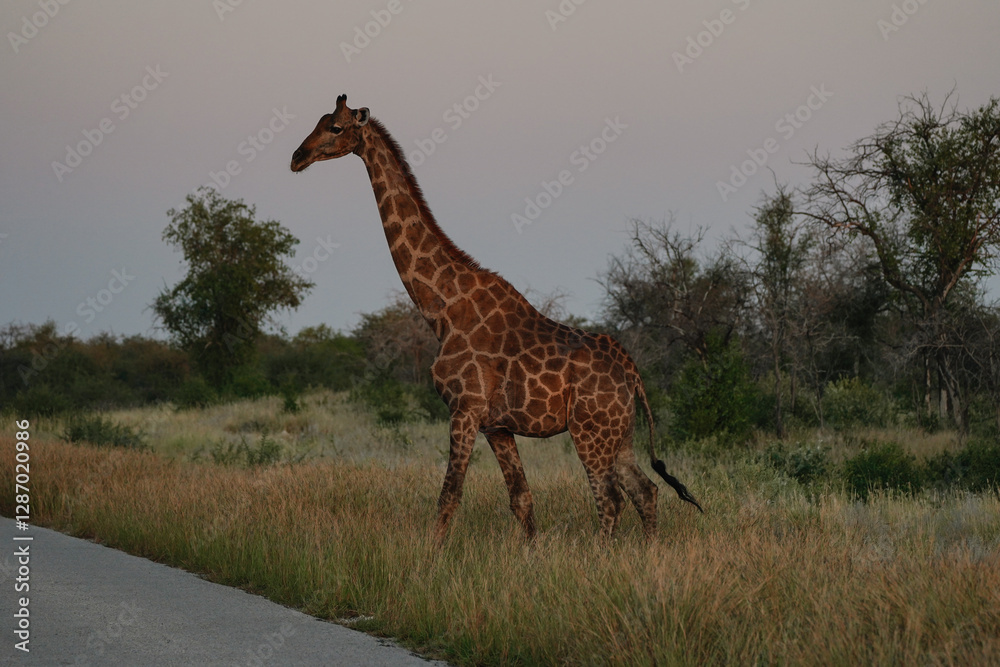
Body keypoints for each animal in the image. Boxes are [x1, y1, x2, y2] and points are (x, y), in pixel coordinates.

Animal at [291, 94, 702, 542]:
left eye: (335, 127)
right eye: (318, 121)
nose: (297, 157)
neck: (443, 308)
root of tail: (633, 372)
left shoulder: (464, 407)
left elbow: (449, 495)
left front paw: (430, 556)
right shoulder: (497, 426)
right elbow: (521, 499)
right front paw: (531, 553)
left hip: (589, 430)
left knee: (611, 499)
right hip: (619, 433)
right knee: (645, 490)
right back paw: (648, 553)